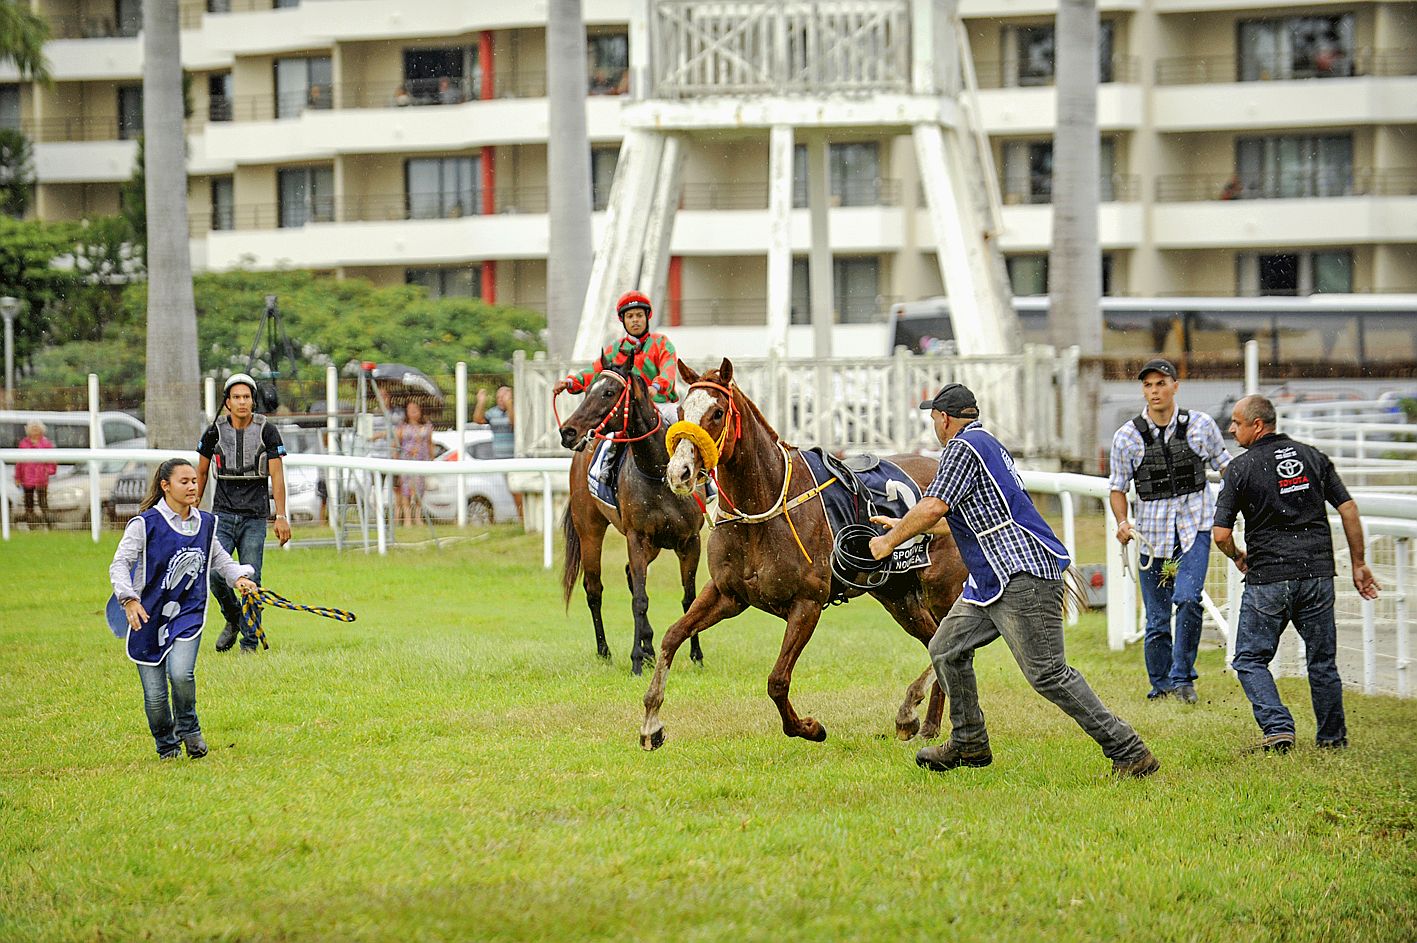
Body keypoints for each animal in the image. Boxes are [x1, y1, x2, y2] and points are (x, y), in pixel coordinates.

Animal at [555, 357, 705, 672]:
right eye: (587, 390)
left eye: (609, 392)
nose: (568, 432)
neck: (659, 473)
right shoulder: (637, 537)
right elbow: (640, 599)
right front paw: (637, 657)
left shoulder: (690, 541)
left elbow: (689, 599)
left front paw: (696, 655)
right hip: (590, 529)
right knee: (594, 589)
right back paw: (606, 650)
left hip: (656, 545)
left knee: (628, 576)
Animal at [643, 358, 974, 748]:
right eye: (681, 411)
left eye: (717, 412)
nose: (679, 472)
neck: (762, 507)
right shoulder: (726, 595)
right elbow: (672, 636)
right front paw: (651, 721)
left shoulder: (807, 603)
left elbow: (777, 681)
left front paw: (808, 728)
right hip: (898, 596)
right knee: (935, 639)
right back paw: (927, 723)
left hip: (941, 585)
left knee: (949, 642)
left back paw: (911, 711)